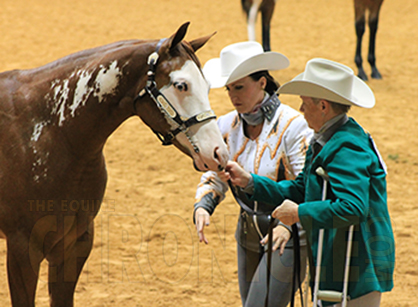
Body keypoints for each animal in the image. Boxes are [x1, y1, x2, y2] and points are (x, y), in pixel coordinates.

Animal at [0, 22, 229, 307]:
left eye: (206, 86)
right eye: (181, 85)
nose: (219, 153)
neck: (50, 130)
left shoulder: (74, 243)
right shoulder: (22, 248)